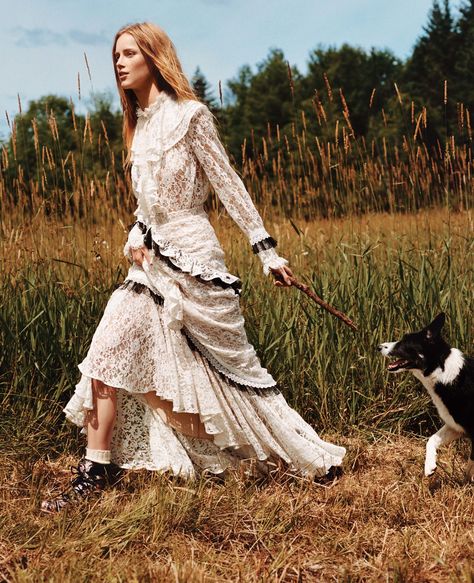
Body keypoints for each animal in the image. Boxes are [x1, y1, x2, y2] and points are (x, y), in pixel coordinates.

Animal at [378, 312, 474, 482]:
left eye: (404, 342)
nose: (378, 347)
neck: (443, 372)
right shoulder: (455, 426)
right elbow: (431, 440)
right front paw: (430, 466)